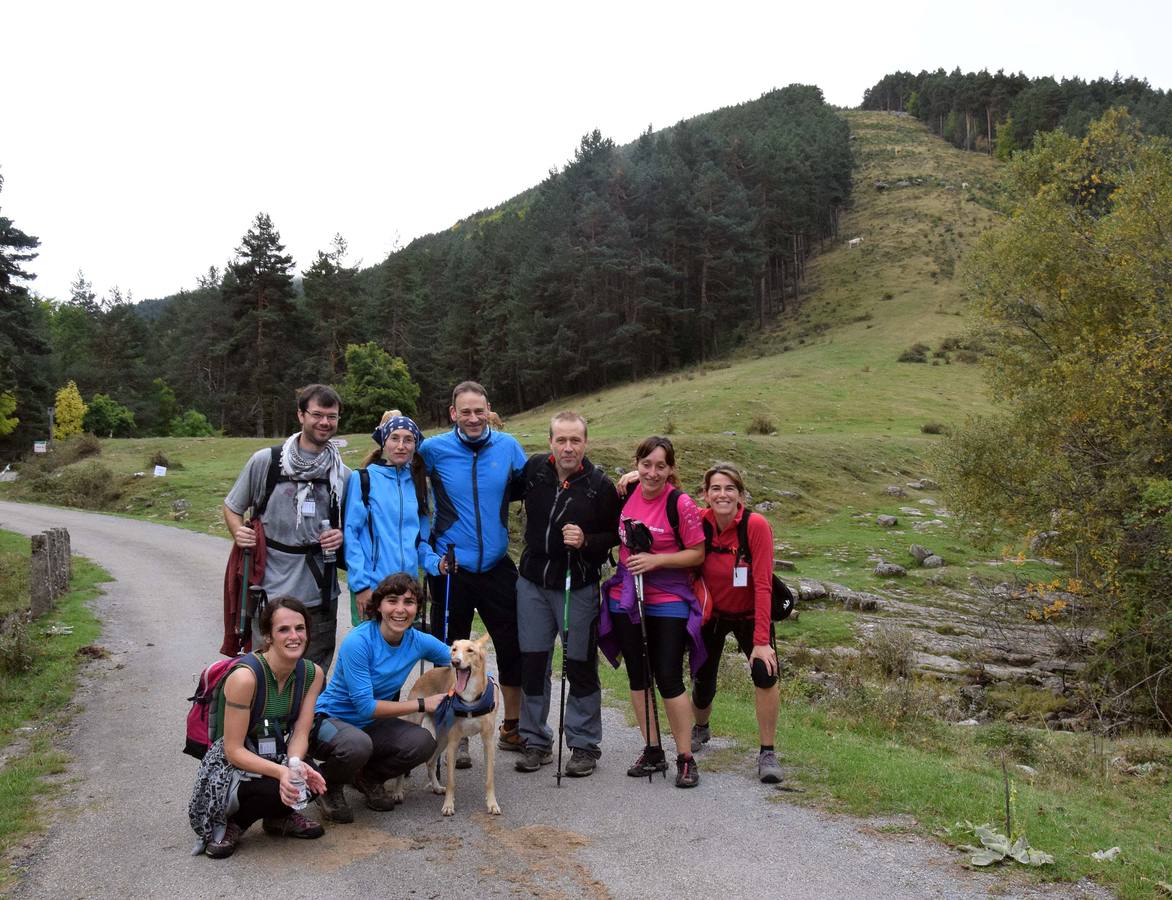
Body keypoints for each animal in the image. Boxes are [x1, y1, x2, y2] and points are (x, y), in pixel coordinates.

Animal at [396, 632, 501, 815]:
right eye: (454, 649)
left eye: (470, 650)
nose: (455, 662)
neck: (469, 701)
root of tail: (426, 674)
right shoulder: (453, 743)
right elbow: (452, 781)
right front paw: (448, 805)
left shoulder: (488, 742)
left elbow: (489, 780)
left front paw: (492, 804)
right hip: (421, 727)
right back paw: (397, 792)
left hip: (442, 737)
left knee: (430, 762)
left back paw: (436, 787)